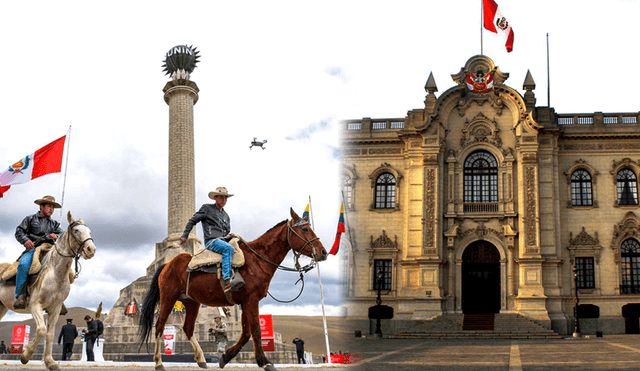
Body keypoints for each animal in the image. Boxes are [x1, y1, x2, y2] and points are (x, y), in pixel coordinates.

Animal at [0, 212, 96, 371]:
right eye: (76, 230)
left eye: (89, 231)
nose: (91, 249)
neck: (55, 273)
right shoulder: (35, 306)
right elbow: (41, 329)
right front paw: (25, 356)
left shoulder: (55, 309)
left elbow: (50, 334)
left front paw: (50, 362)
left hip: (2, 307)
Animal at [141, 209, 330, 371]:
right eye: (305, 229)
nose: (323, 252)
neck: (257, 259)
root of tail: (167, 264)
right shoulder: (251, 300)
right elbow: (255, 331)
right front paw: (265, 362)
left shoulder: (245, 301)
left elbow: (246, 333)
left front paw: (226, 357)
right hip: (168, 297)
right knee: (159, 326)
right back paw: (158, 362)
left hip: (191, 302)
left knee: (187, 328)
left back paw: (201, 360)